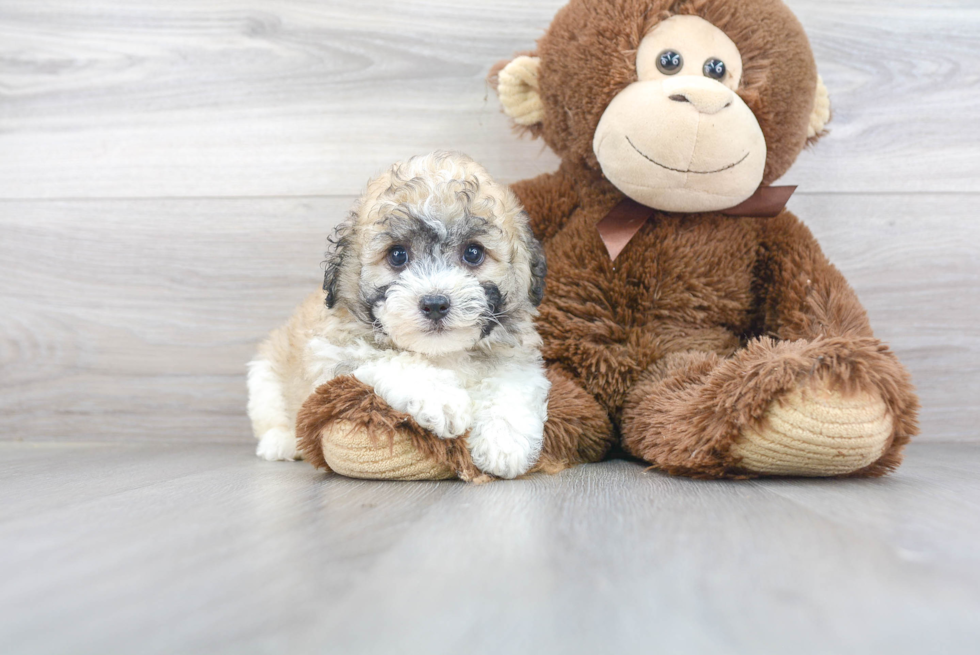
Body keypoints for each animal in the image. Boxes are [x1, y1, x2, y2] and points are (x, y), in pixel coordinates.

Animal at [245, 154, 552, 482]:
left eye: (473, 253)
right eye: (397, 255)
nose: (435, 304)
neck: (443, 352)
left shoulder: (517, 355)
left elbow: (512, 384)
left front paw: (504, 442)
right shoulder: (336, 352)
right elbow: (394, 360)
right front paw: (443, 400)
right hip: (264, 374)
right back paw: (281, 441)